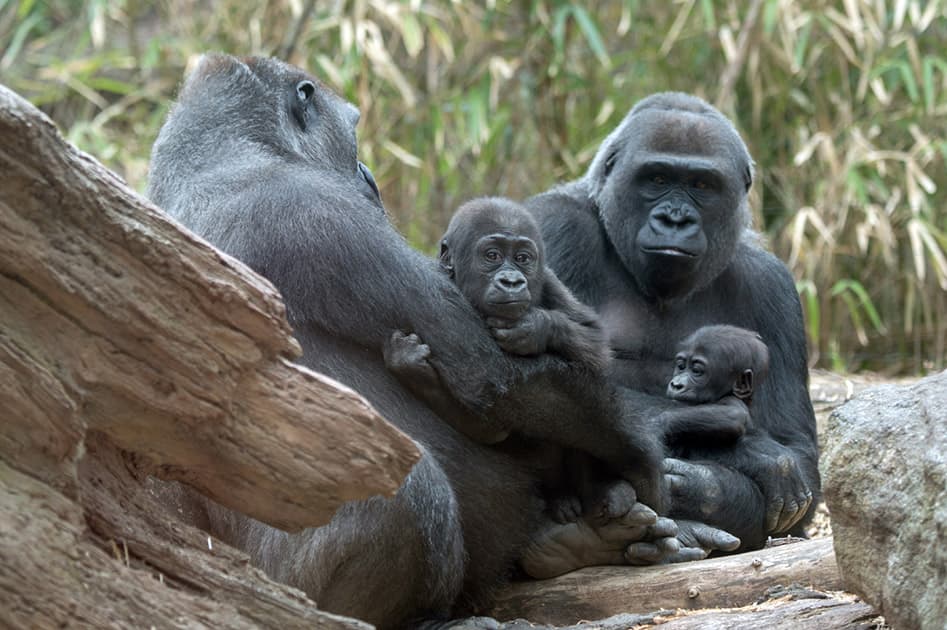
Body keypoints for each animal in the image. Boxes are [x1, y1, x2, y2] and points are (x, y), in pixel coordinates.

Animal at [386, 198, 660, 524]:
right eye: (492, 256)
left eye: (522, 258)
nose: (512, 280)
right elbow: (489, 424)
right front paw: (413, 369)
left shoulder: (550, 279)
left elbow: (595, 344)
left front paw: (534, 327)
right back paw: (562, 497)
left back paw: (603, 491)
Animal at [524, 94, 824, 552]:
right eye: (657, 178)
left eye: (702, 186)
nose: (675, 219)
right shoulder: (555, 224)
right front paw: (755, 453)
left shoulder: (774, 287)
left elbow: (800, 454)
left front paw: (708, 489)